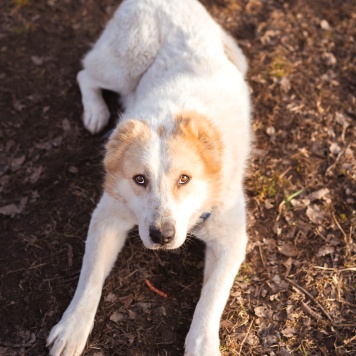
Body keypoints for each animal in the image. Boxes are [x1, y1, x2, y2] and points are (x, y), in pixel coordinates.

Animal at [47, 0, 252, 354]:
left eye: (185, 179)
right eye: (139, 179)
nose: (162, 236)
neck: (171, 116)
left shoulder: (230, 240)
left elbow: (210, 299)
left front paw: (202, 344)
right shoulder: (108, 216)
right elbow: (89, 279)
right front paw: (72, 328)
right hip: (123, 65)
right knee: (86, 72)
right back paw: (96, 111)